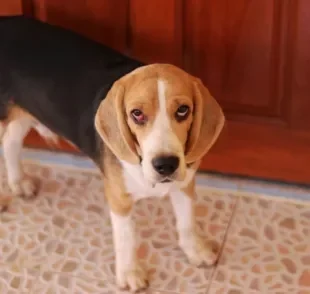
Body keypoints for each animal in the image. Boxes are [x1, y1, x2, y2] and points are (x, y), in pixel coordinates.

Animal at [0, 15, 224, 292]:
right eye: (136, 114)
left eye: (183, 110)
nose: (166, 165)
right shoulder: (119, 198)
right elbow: (126, 238)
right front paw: (129, 273)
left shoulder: (184, 183)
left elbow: (187, 221)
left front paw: (195, 250)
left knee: (10, 142)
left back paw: (18, 182)